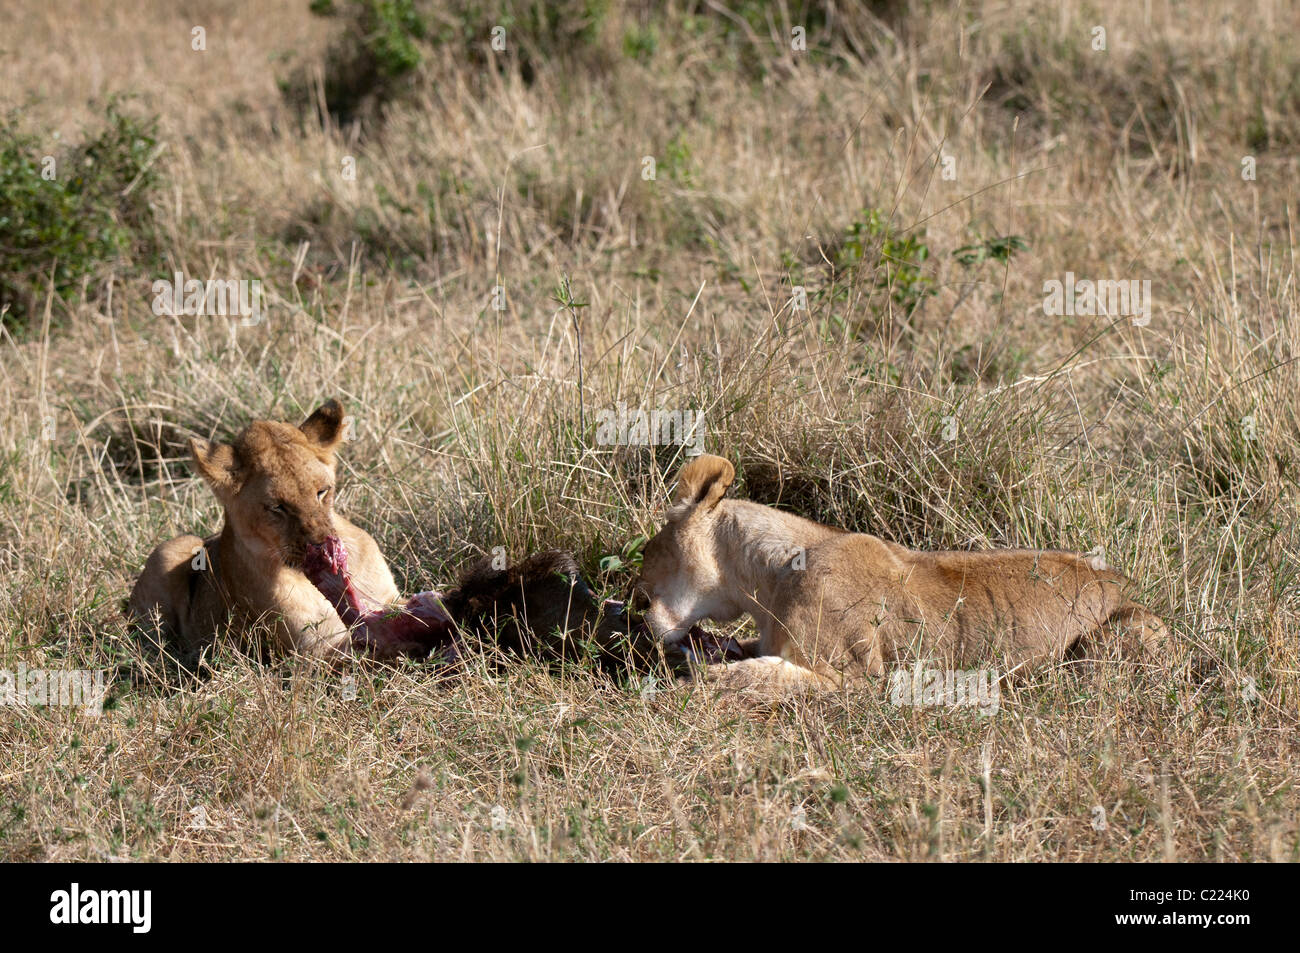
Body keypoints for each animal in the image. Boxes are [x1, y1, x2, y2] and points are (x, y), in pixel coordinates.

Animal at [633, 454, 1171, 695]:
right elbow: (740, 657)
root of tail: (1123, 582)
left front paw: (680, 678)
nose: (639, 610)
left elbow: (741, 676)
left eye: (647, 552)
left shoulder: (855, 677)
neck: (763, 580)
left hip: (1114, 640)